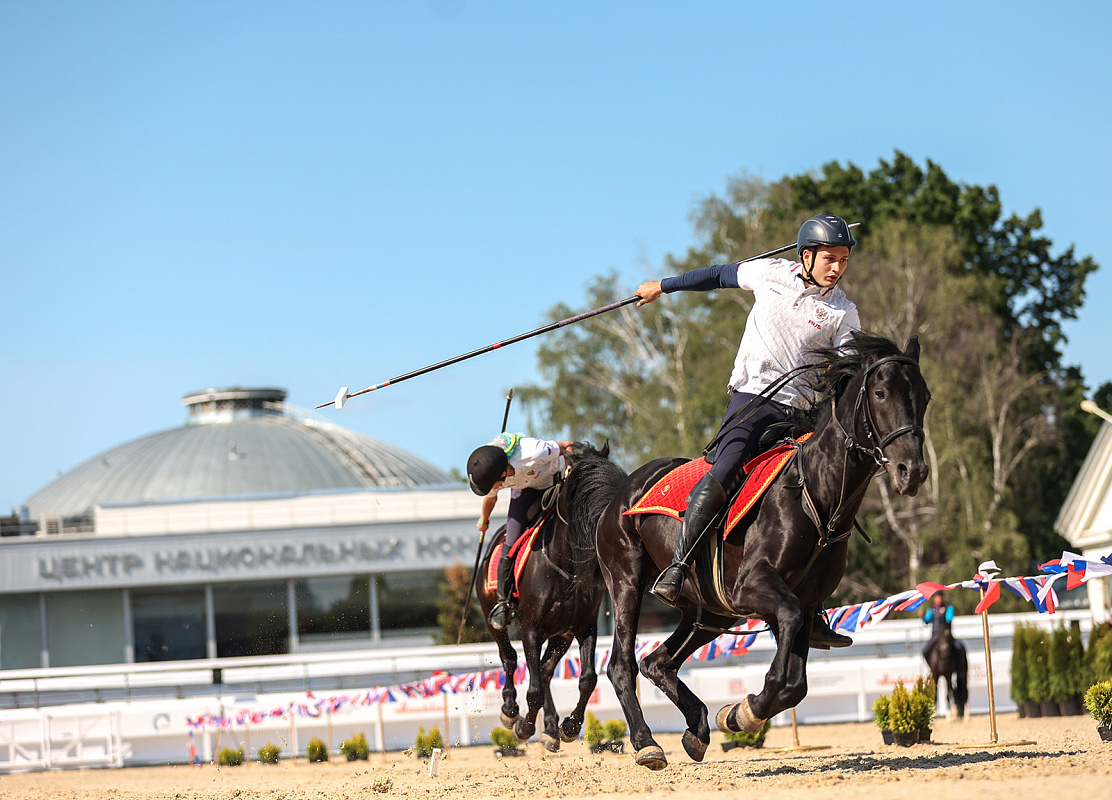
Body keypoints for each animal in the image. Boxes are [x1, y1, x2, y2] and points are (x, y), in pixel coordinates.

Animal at [475, 445, 627, 752]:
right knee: (509, 658)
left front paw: (569, 727)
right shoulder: (531, 630)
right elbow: (532, 688)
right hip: (493, 619)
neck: (564, 566)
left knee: (544, 671)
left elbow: (587, 679)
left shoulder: (584, 627)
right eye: (581, 486)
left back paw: (550, 728)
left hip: (561, 635)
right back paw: (510, 710)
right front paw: (523, 726)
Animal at [600, 333, 929, 769]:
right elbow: (786, 656)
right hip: (627, 583)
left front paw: (738, 714)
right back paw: (646, 743)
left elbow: (796, 684)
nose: (913, 471)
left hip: (710, 613)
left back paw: (698, 729)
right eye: (880, 392)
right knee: (622, 665)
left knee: (658, 662)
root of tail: (621, 491)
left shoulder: (805, 603)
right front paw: (744, 711)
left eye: (924, 396)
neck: (814, 495)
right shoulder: (756, 588)